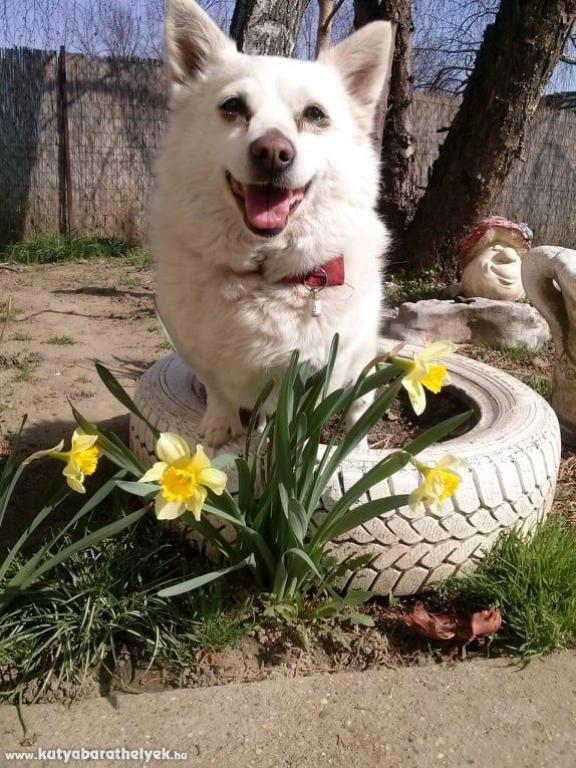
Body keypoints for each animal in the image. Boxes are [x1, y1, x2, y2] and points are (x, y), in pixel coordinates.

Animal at [151, 0, 392, 447]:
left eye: (315, 114)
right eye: (232, 106)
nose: (273, 152)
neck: (262, 273)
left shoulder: (317, 371)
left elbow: (296, 414)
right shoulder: (195, 349)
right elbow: (217, 389)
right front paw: (220, 426)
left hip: (361, 361)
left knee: (359, 406)